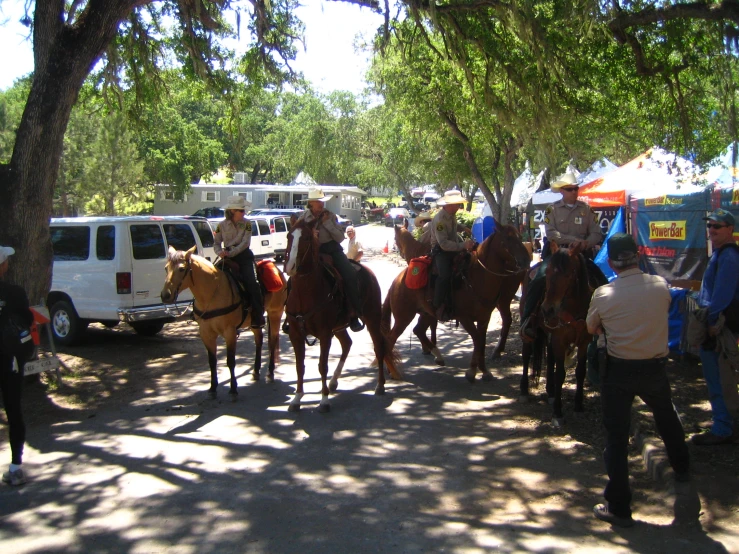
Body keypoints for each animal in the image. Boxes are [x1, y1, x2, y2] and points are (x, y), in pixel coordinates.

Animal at [162, 245, 290, 396]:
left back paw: (270, 372)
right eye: (166, 268)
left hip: (275, 313)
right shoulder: (206, 333)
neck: (212, 293)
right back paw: (256, 371)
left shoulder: (230, 332)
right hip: (255, 320)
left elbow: (230, 361)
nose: (165, 295)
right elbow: (212, 361)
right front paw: (212, 388)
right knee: (259, 339)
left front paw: (233, 388)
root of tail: (278, 271)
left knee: (273, 340)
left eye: (182, 269)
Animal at [284, 216, 402, 410]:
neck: (305, 292)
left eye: (307, 238)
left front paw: (324, 401)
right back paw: (333, 382)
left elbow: (322, 365)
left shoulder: (325, 334)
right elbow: (299, 366)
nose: (290, 266)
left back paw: (379, 385)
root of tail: (368, 272)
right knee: (347, 343)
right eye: (288, 236)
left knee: (379, 347)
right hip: (339, 326)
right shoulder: (296, 334)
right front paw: (296, 399)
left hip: (372, 318)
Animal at [382, 222, 532, 382]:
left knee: (417, 330)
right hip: (405, 317)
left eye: (518, 236)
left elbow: (482, 341)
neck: (476, 277)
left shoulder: (484, 318)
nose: (527, 260)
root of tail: (397, 281)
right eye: (508, 238)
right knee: (392, 338)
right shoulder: (465, 318)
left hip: (426, 313)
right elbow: (478, 340)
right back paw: (393, 369)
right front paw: (472, 370)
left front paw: (483, 370)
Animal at [520, 240, 596, 422]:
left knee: (550, 359)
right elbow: (560, 373)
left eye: (568, 274)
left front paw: (578, 406)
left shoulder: (584, 341)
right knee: (526, 354)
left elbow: (580, 371)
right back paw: (524, 390)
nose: (548, 310)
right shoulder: (559, 339)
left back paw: (550, 392)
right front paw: (557, 412)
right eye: (547, 272)